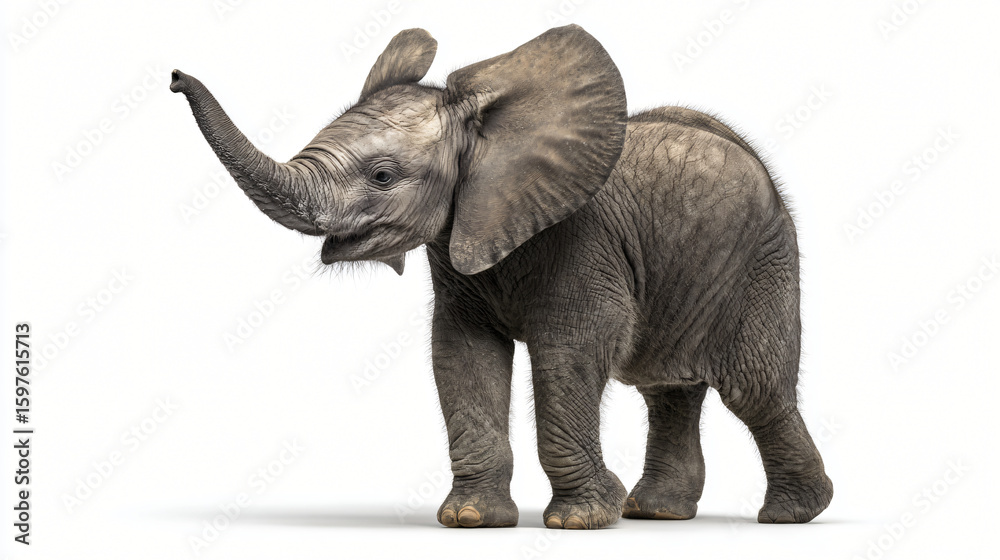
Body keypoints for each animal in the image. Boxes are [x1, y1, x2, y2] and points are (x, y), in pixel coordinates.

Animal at [171, 24, 833, 529]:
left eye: (383, 175)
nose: (175, 76)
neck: (486, 130)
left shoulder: (580, 240)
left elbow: (570, 350)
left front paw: (580, 521)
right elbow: (461, 354)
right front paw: (470, 520)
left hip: (763, 261)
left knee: (754, 389)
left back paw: (790, 515)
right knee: (668, 388)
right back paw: (657, 513)